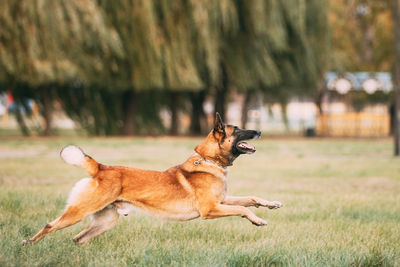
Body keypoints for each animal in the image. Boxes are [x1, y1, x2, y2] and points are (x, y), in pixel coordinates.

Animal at [23, 112, 282, 245]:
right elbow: (244, 209)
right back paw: (29, 246)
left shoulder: (222, 201)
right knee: (50, 227)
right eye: (237, 130)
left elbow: (251, 198)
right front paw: (258, 220)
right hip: (80, 211)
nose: (259, 131)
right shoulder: (211, 209)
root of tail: (100, 167)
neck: (209, 161)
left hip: (105, 221)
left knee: (79, 239)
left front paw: (271, 204)